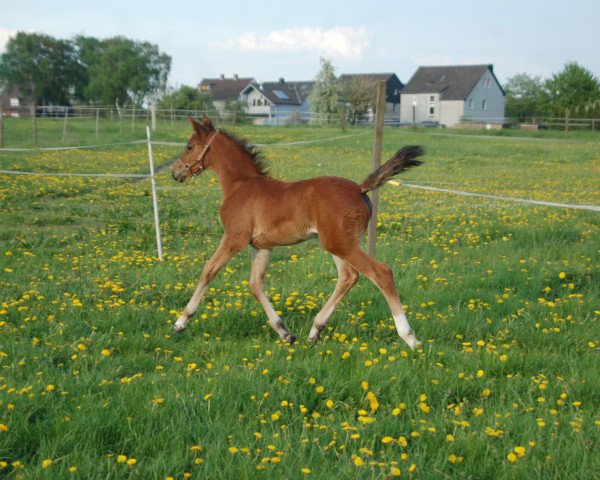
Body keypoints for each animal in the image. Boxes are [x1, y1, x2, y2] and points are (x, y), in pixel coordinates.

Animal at [169, 116, 424, 348]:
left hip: (341, 244)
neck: (240, 186)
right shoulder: (262, 246)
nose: (175, 172)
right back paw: (314, 331)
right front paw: (285, 332)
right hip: (338, 243)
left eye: (189, 146)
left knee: (381, 273)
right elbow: (255, 285)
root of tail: (360, 188)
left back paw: (410, 338)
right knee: (348, 276)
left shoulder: (234, 238)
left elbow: (208, 271)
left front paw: (181, 322)